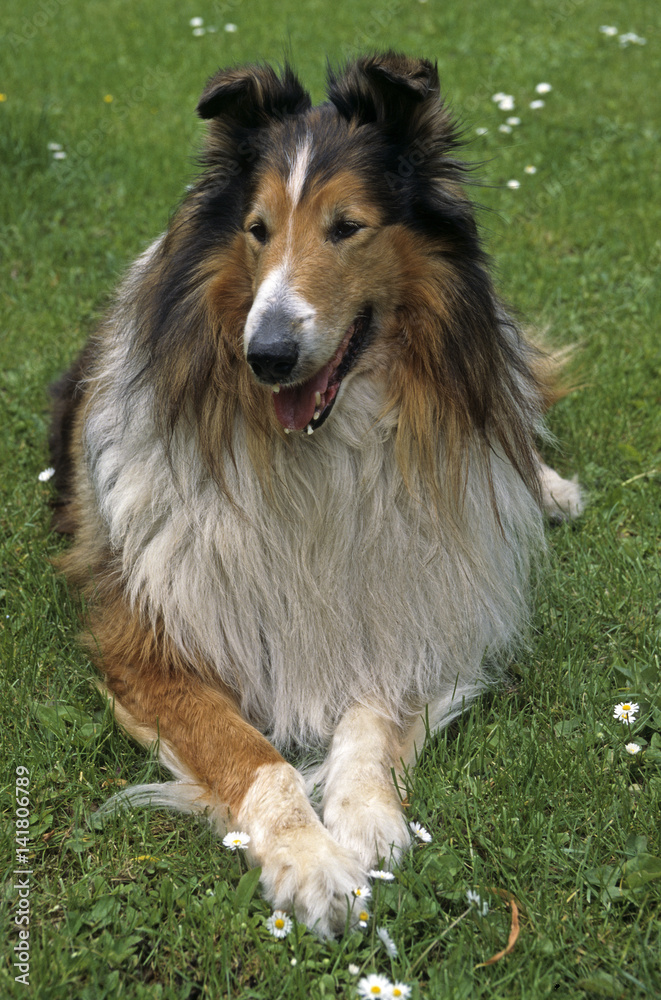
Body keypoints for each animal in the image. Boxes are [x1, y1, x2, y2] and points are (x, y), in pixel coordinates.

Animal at [49, 52, 580, 936]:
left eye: (347, 227)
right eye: (257, 229)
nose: (265, 355)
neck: (317, 451)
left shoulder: (410, 599)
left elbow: (367, 720)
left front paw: (367, 819)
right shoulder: (150, 643)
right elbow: (254, 756)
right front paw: (309, 860)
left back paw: (550, 487)